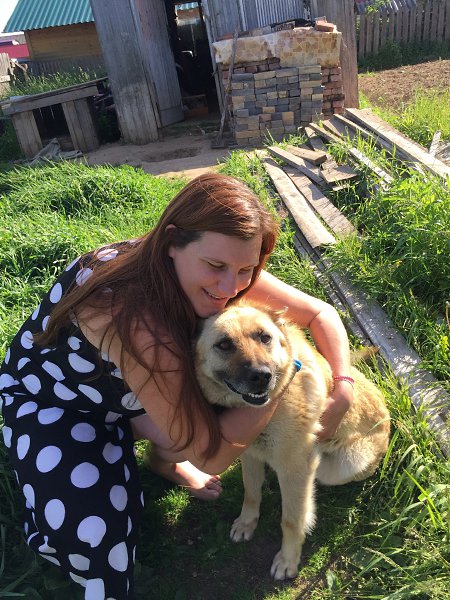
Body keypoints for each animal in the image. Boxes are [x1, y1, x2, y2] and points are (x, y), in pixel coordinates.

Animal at [195, 301, 390, 580]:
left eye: (264, 337)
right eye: (224, 344)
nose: (262, 376)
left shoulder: (294, 468)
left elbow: (291, 520)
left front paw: (288, 560)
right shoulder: (250, 455)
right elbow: (251, 491)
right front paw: (247, 522)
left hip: (343, 466)